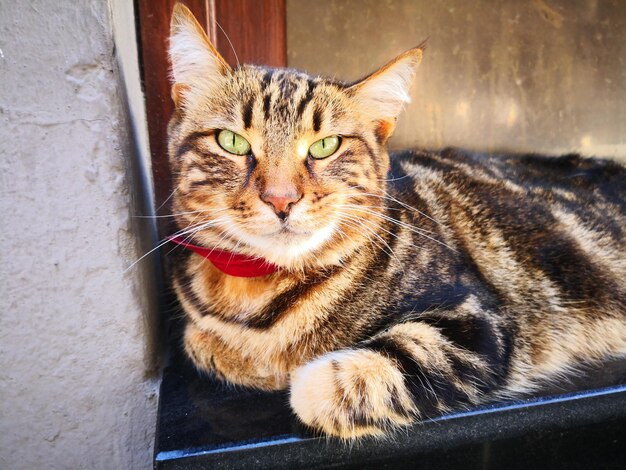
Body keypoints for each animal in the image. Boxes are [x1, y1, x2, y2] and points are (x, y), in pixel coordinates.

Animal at [165, 3, 624, 438]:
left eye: (325, 146)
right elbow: (198, 342)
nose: (281, 199)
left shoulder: (477, 323)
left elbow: (331, 381)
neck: (257, 290)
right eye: (232, 141)